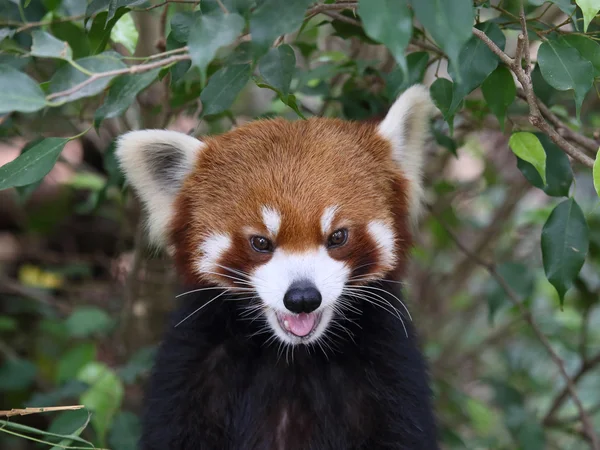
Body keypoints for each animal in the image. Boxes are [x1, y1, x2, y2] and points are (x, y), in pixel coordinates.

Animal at [115, 85, 438, 450]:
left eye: (337, 236)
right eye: (260, 242)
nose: (302, 298)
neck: (293, 356)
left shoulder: (390, 371)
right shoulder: (189, 370)